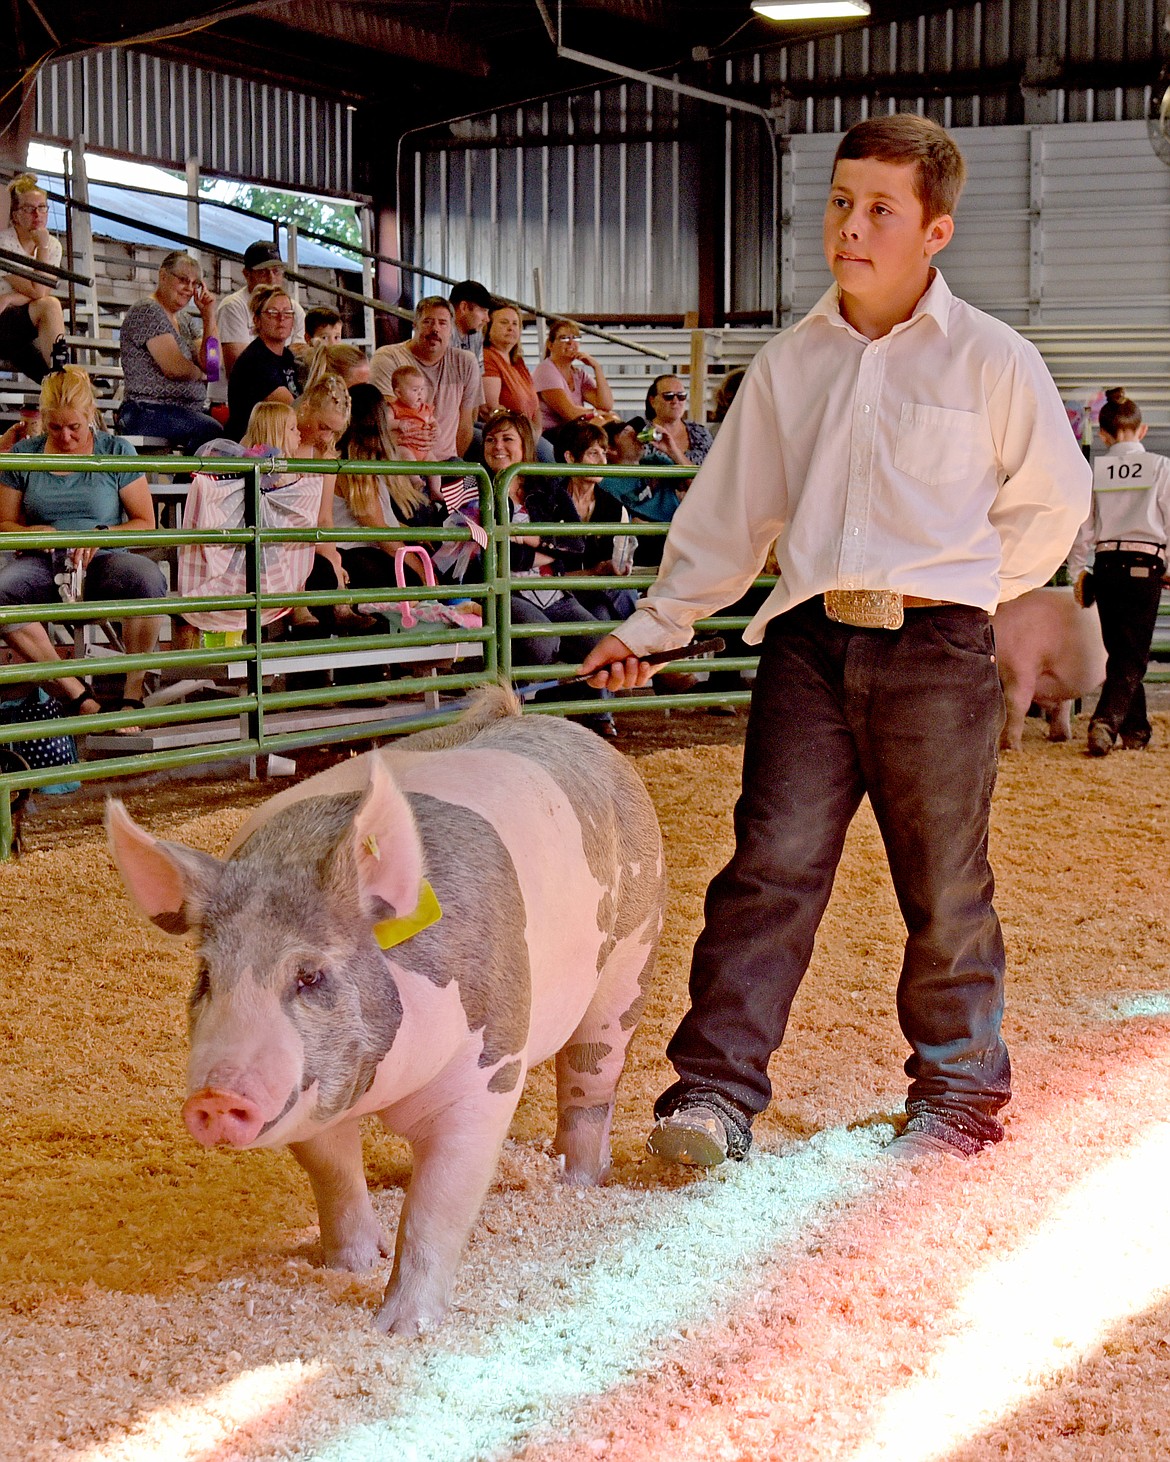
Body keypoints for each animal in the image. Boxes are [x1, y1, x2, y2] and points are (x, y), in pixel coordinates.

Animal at [105, 687, 663, 1339]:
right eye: (206, 977)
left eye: (310, 975)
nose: (216, 1097)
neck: (382, 1090)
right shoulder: (316, 1097)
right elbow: (335, 1173)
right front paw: (349, 1265)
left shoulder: (487, 1069)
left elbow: (436, 1205)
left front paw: (401, 1330)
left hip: (634, 947)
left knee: (592, 1072)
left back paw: (577, 1181)